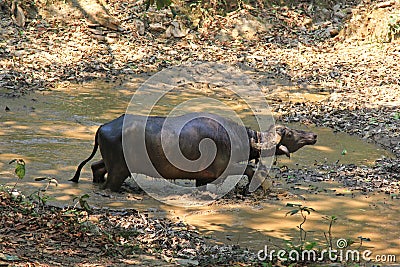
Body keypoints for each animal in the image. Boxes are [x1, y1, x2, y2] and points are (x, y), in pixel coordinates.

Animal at [71, 113, 316, 193]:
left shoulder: (203, 177)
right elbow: (249, 168)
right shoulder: (224, 168)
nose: (313, 135)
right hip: (119, 171)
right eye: (290, 132)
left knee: (96, 167)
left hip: (109, 162)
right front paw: (258, 187)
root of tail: (103, 127)